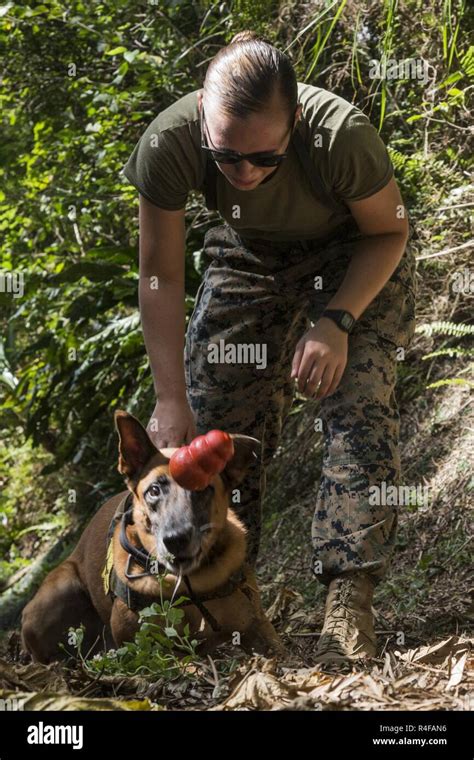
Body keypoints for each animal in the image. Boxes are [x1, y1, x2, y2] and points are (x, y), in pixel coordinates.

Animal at [21, 412, 286, 664]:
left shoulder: (257, 629)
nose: (176, 539)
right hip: (60, 588)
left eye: (202, 490)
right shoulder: (149, 646)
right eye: (154, 491)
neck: (190, 585)